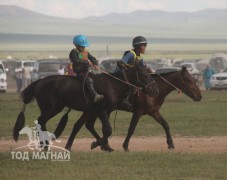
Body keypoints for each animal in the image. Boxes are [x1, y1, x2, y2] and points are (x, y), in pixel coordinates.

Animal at [13, 63, 159, 149]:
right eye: (144, 75)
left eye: (149, 74)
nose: (155, 90)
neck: (113, 85)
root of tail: (39, 82)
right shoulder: (101, 110)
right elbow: (108, 129)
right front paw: (98, 144)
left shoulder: (101, 111)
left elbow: (100, 128)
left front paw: (103, 145)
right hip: (49, 108)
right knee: (41, 121)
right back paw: (45, 144)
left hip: (57, 108)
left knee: (43, 121)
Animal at [57, 66, 202, 150]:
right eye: (188, 79)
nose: (199, 96)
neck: (155, 90)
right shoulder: (138, 112)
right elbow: (131, 129)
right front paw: (125, 146)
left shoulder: (154, 112)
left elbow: (166, 125)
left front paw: (170, 144)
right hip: (92, 111)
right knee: (84, 126)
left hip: (91, 111)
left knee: (81, 125)